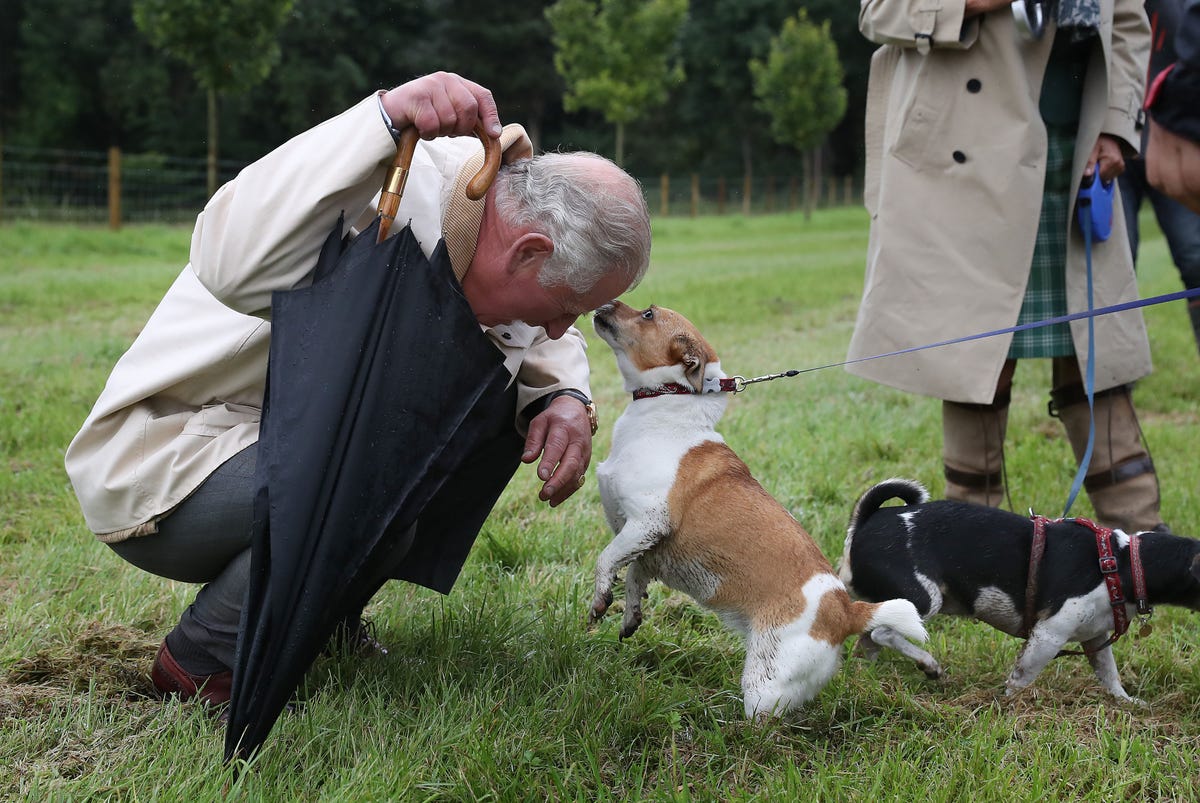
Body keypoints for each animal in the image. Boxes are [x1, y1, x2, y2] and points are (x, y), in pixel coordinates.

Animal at [590, 303, 926, 715]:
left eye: (648, 314)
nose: (604, 304)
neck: (667, 406)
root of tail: (849, 611)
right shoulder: (647, 544)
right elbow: (634, 575)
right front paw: (630, 615)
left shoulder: (647, 522)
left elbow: (607, 560)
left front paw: (601, 599)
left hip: (764, 682)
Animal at [840, 480, 1200, 696]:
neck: (1123, 562)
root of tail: (867, 521)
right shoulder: (1048, 635)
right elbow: (1022, 677)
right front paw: (1010, 705)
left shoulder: (1096, 637)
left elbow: (1109, 675)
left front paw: (1125, 704)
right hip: (923, 600)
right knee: (883, 633)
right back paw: (928, 664)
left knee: (868, 640)